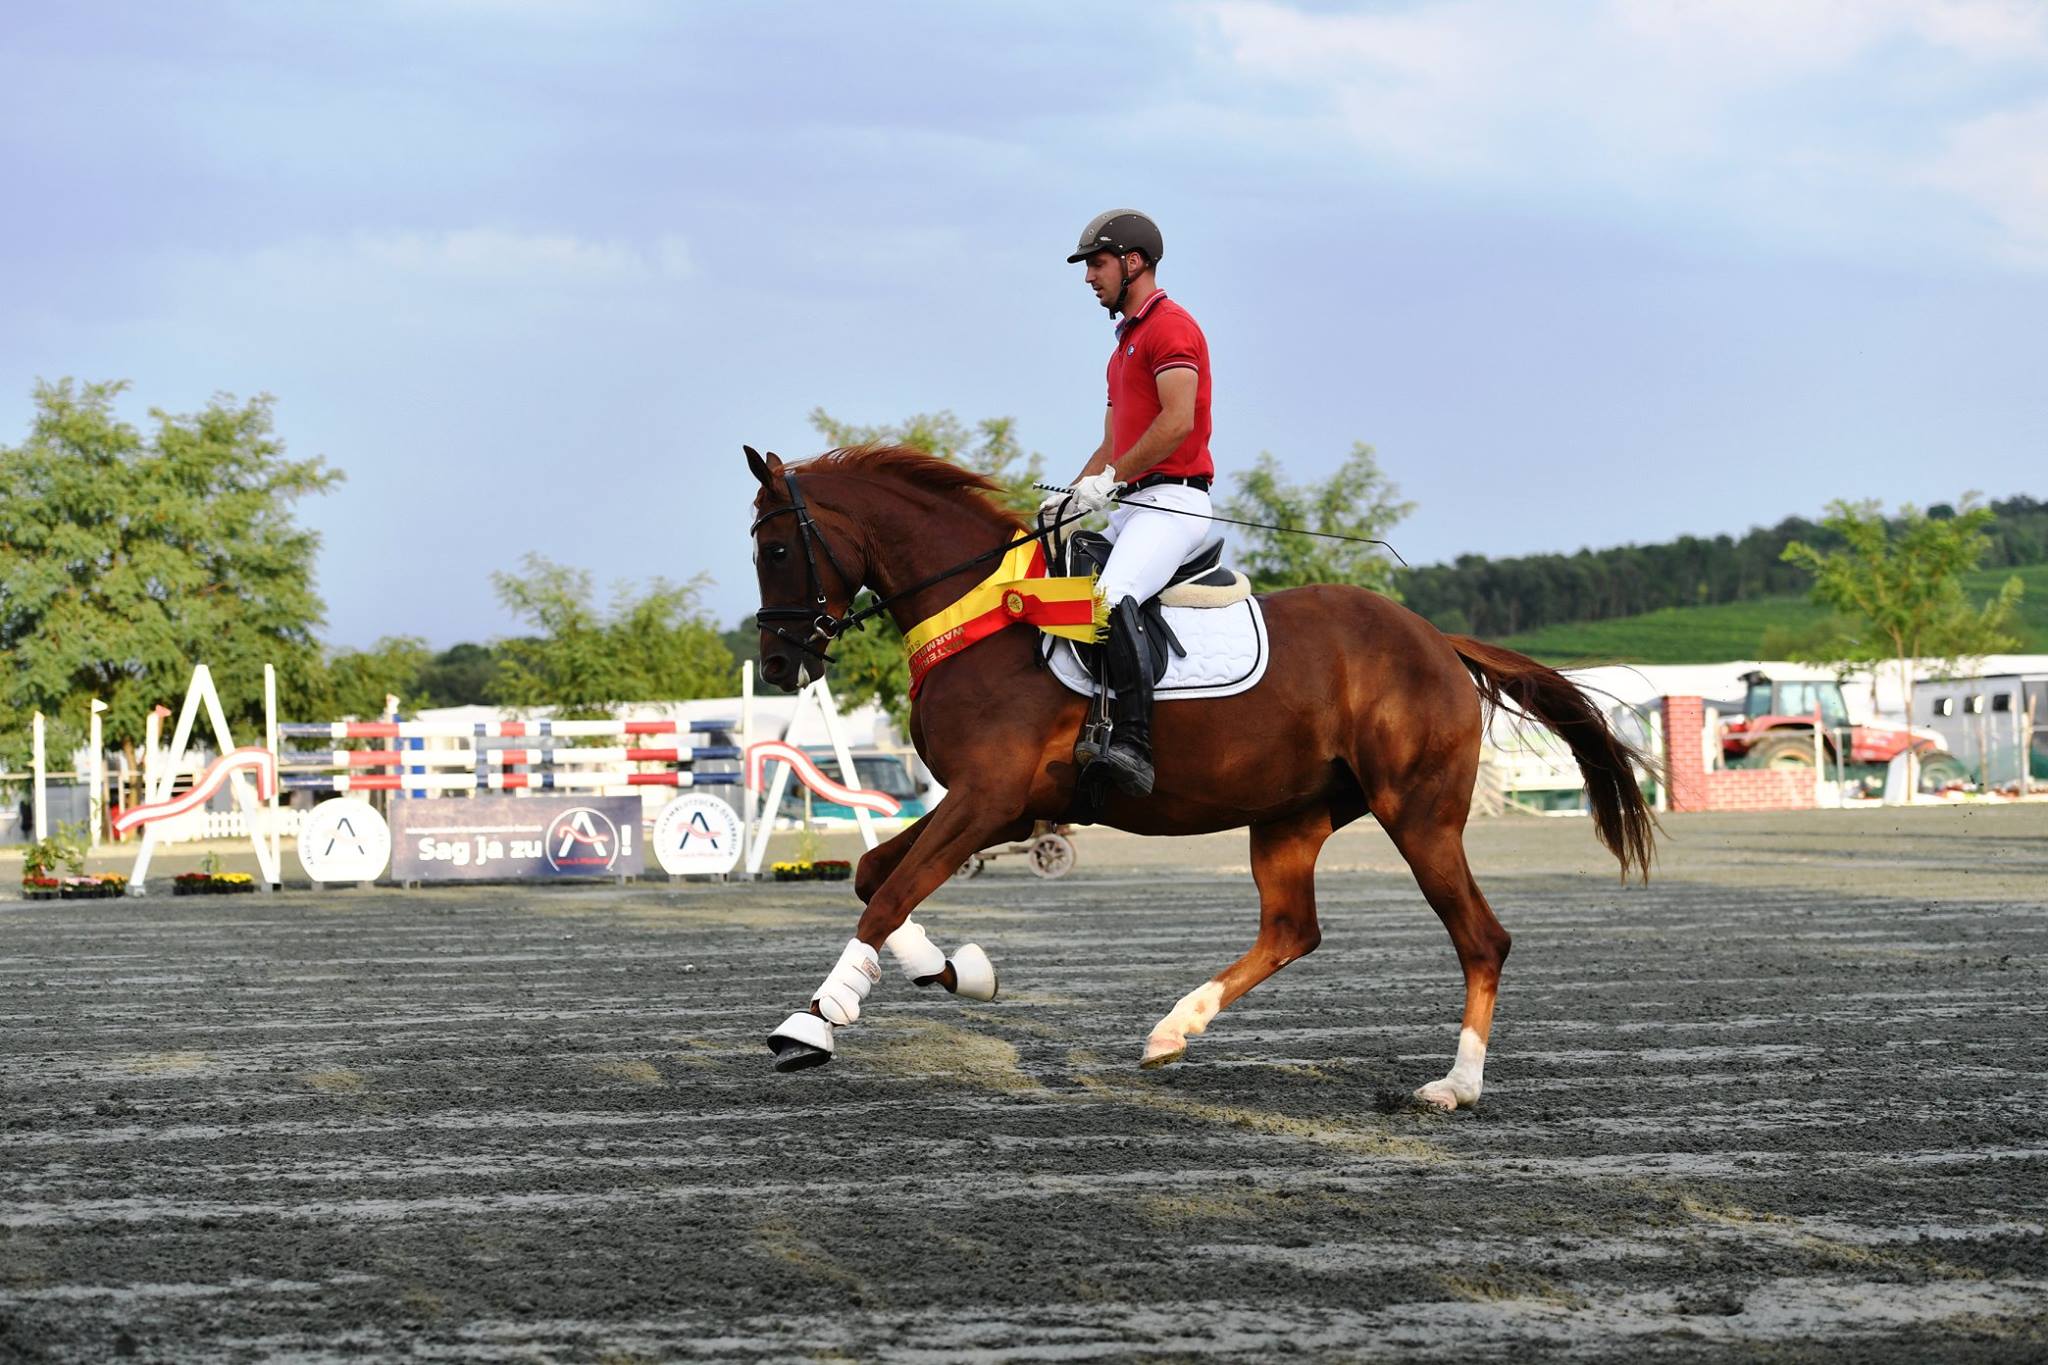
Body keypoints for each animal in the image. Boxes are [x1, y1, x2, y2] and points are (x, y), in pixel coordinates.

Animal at [745, 444, 1654, 1105]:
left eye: (779, 547)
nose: (781, 663)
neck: (984, 616)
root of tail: (1436, 639)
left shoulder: (990, 799)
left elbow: (890, 892)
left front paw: (812, 1023)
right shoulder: (999, 808)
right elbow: (872, 875)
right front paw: (957, 970)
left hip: (1419, 814)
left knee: (1480, 938)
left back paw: (1455, 1085)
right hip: (1291, 815)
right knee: (1292, 929)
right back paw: (1173, 1029)